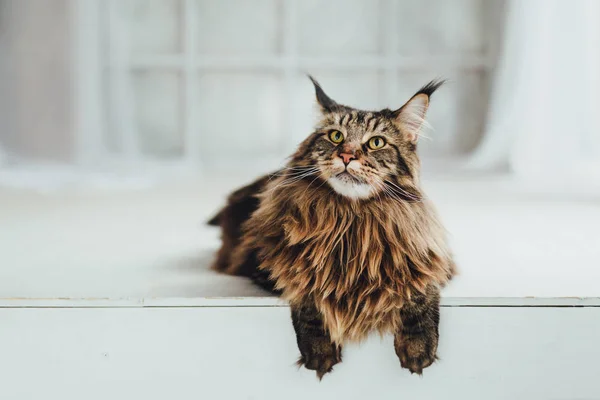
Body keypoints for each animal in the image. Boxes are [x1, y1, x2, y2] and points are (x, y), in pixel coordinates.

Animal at [209, 76, 458, 380]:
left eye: (376, 142)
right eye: (336, 136)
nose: (347, 156)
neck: (352, 218)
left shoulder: (432, 260)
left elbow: (420, 290)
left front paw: (418, 345)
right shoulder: (272, 264)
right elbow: (310, 288)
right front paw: (319, 349)